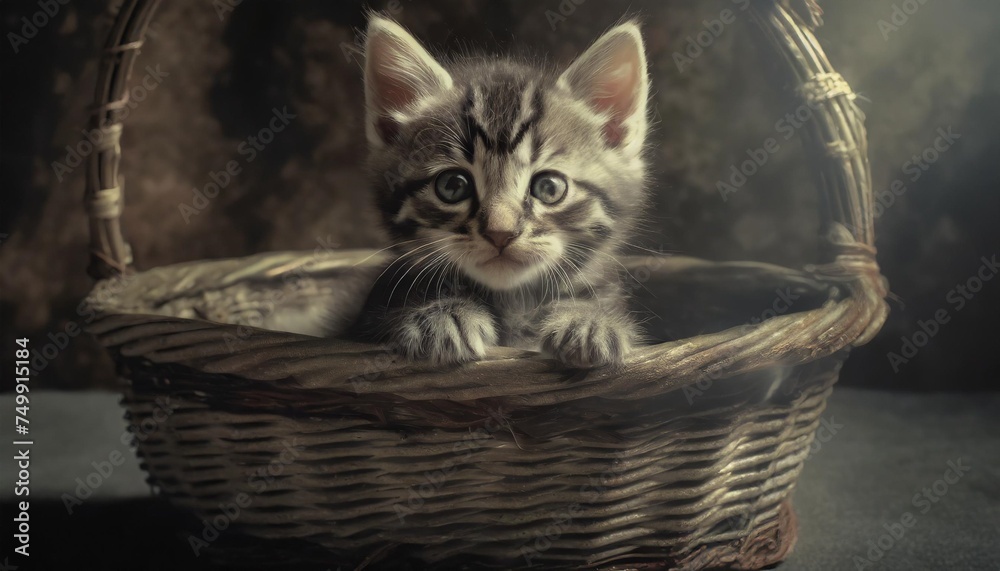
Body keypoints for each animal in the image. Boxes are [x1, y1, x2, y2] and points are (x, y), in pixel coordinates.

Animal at [352, 15, 648, 368]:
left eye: (549, 187)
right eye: (452, 186)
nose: (500, 233)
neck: (512, 303)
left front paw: (589, 321)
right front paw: (442, 315)